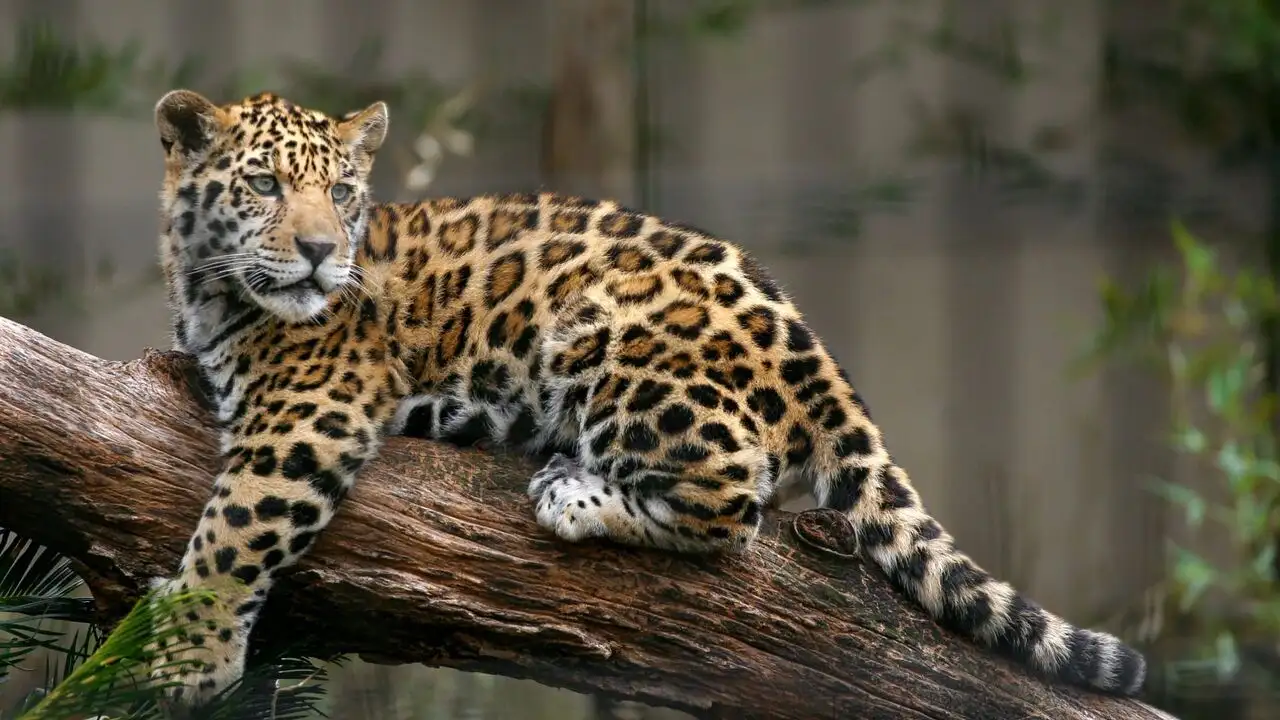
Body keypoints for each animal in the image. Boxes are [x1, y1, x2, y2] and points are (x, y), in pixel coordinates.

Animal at [145, 88, 1147, 707]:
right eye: (265, 184)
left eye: (344, 192)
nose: (321, 253)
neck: (207, 286)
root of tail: (813, 346)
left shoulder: (309, 410)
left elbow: (238, 527)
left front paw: (183, 652)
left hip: (612, 340)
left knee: (735, 502)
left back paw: (576, 493)